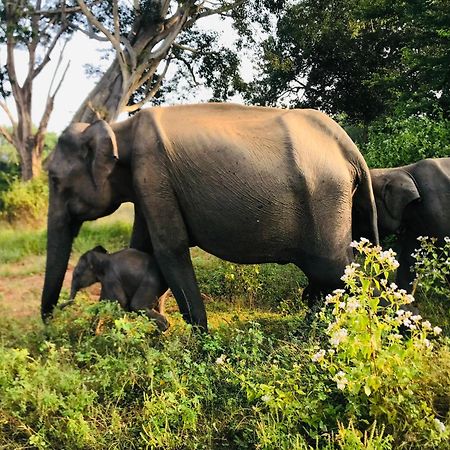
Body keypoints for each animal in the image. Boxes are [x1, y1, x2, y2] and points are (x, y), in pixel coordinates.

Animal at [41, 104, 380, 330]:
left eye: (55, 180)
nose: (49, 323)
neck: (120, 128)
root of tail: (349, 148)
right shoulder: (147, 185)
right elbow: (143, 245)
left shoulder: (152, 171)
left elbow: (170, 247)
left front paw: (198, 345)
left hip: (325, 200)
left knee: (336, 272)